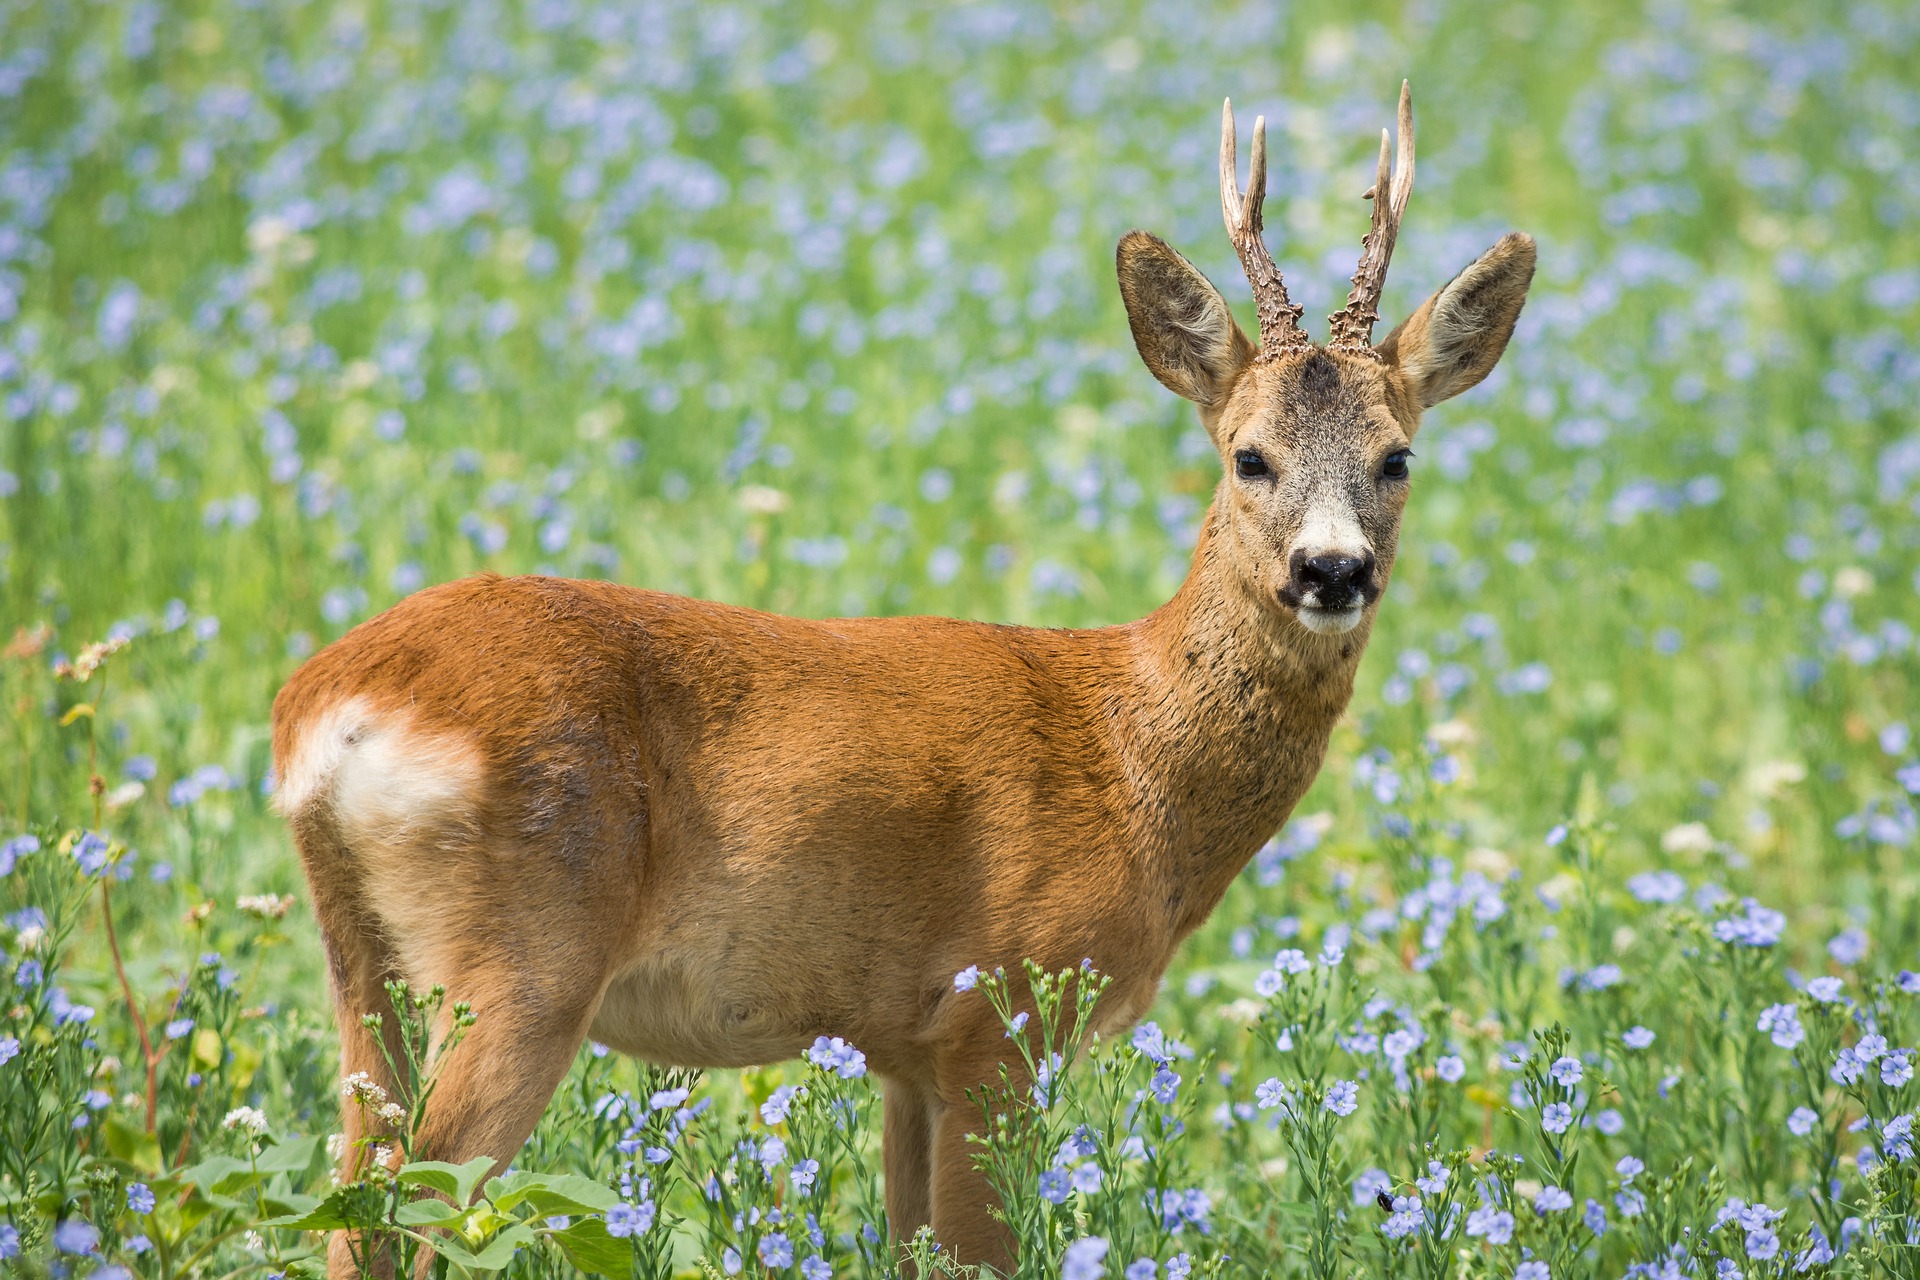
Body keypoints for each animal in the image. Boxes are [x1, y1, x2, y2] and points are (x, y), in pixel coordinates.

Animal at [274, 80, 1528, 1274]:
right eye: (1249, 455)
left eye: (1397, 457)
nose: (1332, 568)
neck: (1134, 757)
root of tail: (330, 708)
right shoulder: (1000, 1011)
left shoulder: (903, 1050)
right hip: (525, 956)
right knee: (409, 1206)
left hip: (368, 963)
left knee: (354, 1196)